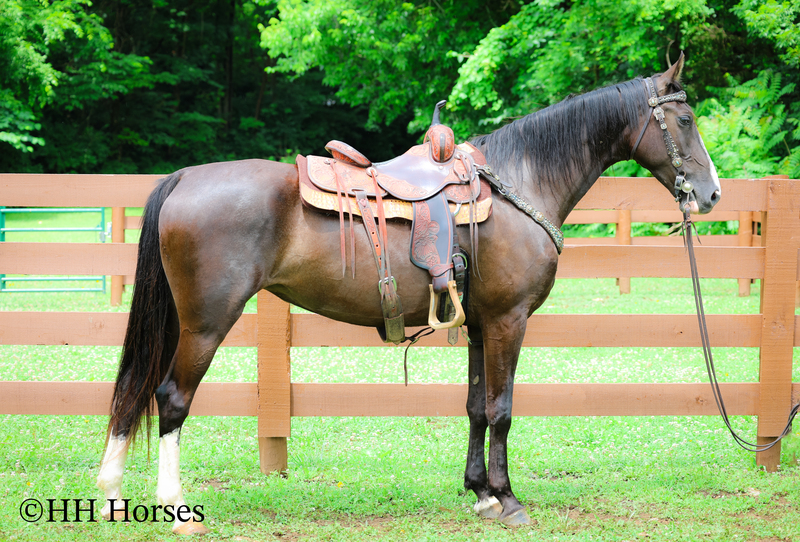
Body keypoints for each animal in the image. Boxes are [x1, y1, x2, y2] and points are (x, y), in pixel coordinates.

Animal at [96, 54, 720, 533]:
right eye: (686, 118)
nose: (712, 194)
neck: (521, 181)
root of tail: (184, 177)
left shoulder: (479, 324)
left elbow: (475, 406)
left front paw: (480, 493)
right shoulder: (509, 321)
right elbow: (502, 409)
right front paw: (508, 499)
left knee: (133, 392)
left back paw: (111, 494)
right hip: (205, 322)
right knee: (171, 398)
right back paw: (176, 507)